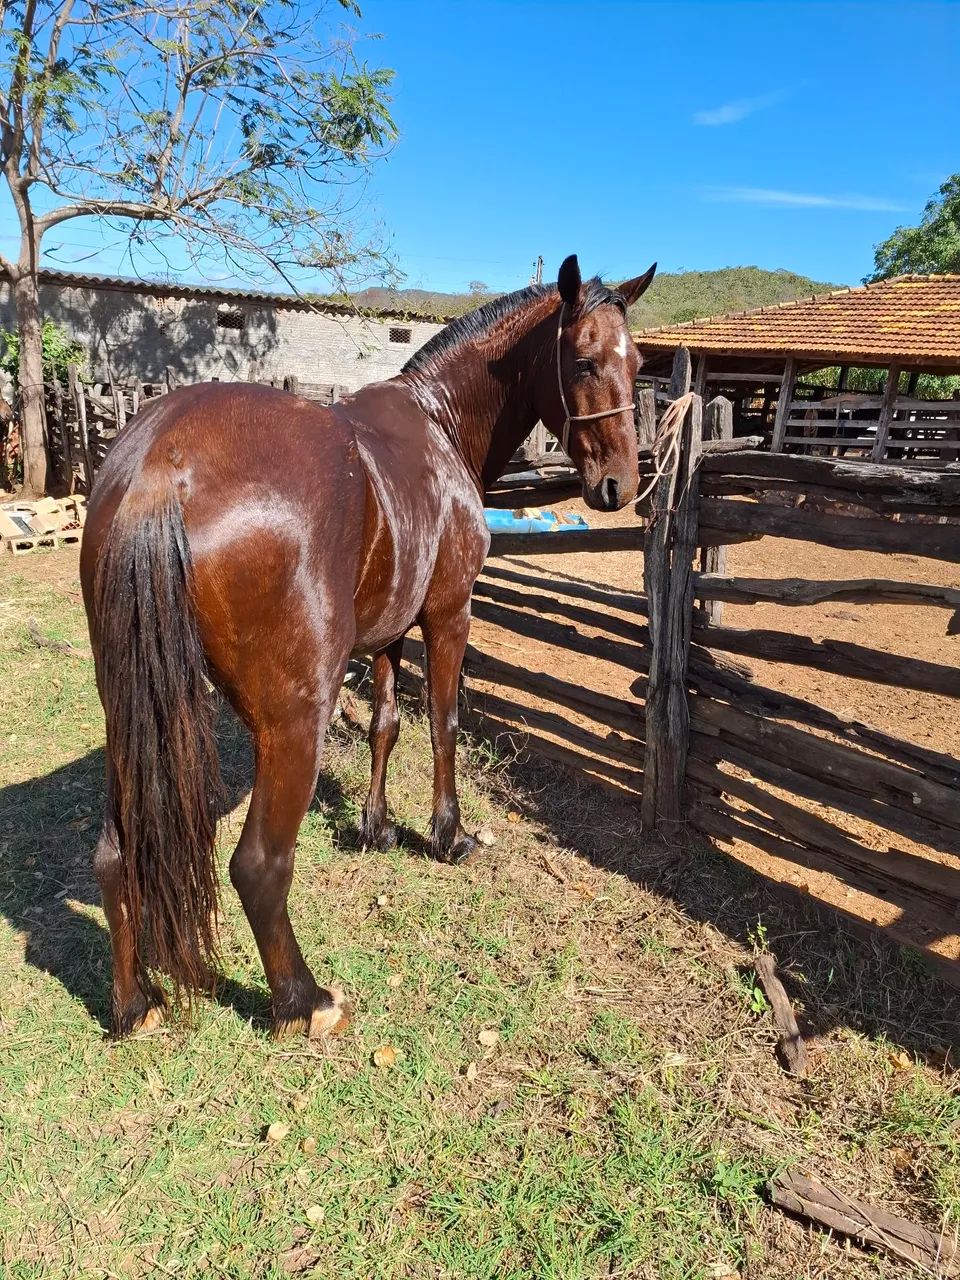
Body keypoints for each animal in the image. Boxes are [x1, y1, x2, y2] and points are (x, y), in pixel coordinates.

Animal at [80, 253, 656, 1039]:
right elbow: (443, 724)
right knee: (259, 865)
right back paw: (303, 1000)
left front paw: (376, 827)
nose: (619, 485)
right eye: (585, 359)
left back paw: (133, 1003)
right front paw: (447, 835)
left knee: (116, 855)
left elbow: (386, 724)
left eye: (641, 364)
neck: (440, 422)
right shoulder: (446, 614)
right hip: (294, 720)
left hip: (132, 714)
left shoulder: (389, 632)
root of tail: (159, 471)